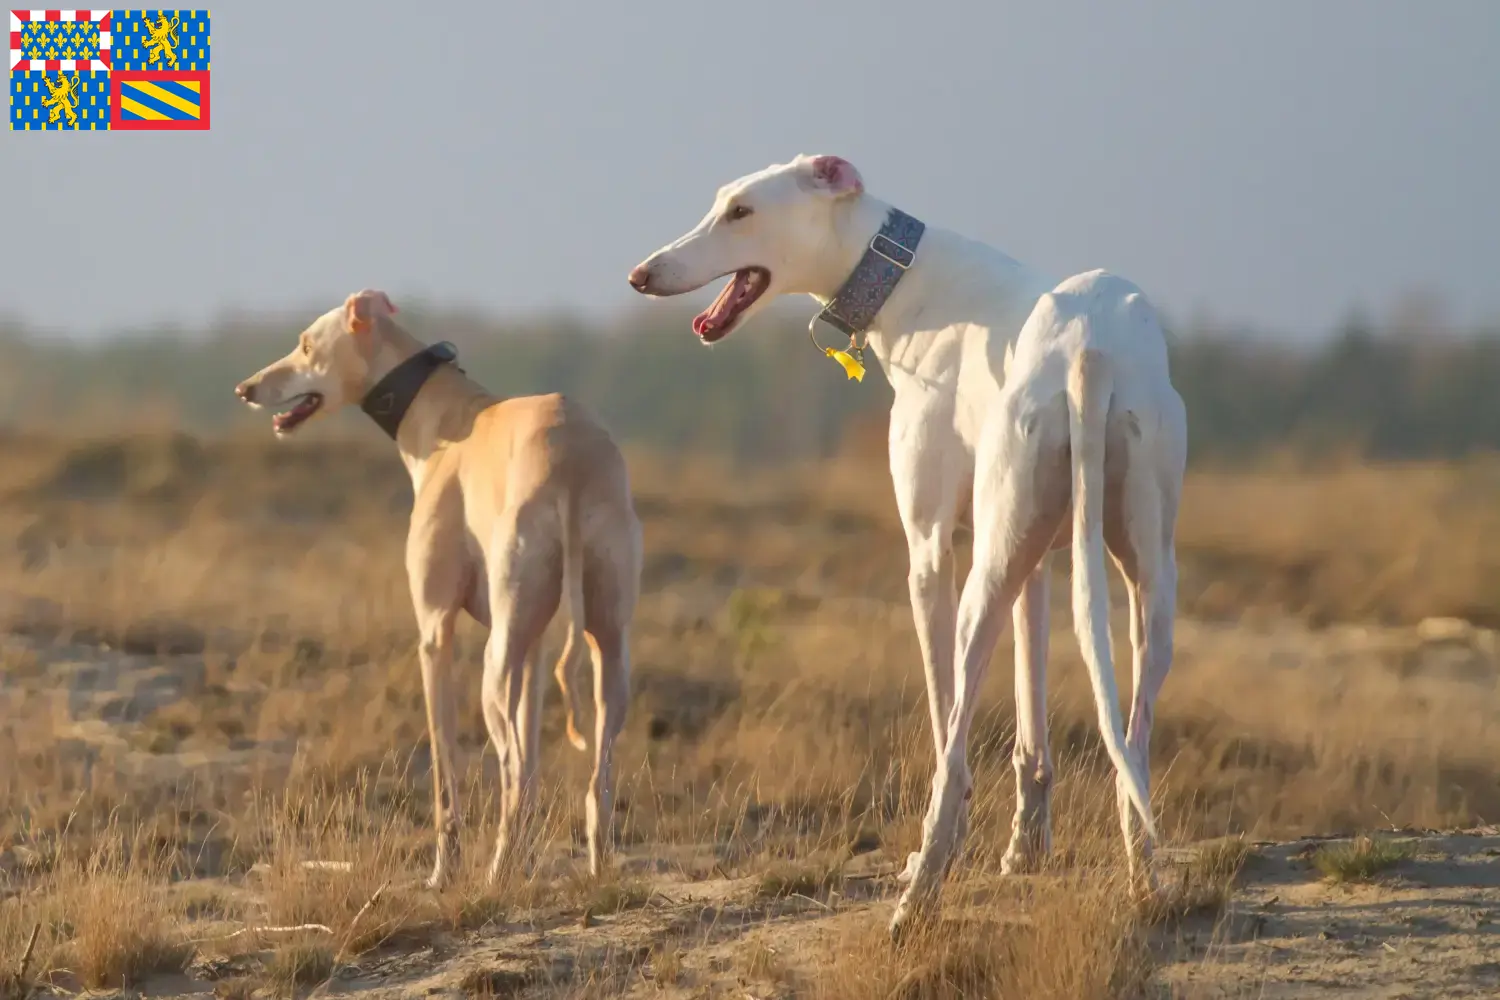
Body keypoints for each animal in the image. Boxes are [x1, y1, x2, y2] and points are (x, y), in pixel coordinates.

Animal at [231, 290, 642, 893]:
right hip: (604, 645)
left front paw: (444, 871)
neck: (444, 416)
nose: (246, 389)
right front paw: (522, 864)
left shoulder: (434, 631)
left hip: (494, 668)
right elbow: (534, 762)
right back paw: (593, 867)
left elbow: (447, 771)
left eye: (305, 344)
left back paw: (494, 871)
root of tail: (569, 461)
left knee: (509, 765)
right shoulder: (533, 645)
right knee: (592, 774)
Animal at [627, 152, 1188, 935]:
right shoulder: (1039, 557)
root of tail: (1091, 349)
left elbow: (946, 714)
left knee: (952, 744)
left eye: (741, 211)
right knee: (1132, 739)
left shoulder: (929, 550)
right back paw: (1145, 877)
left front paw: (961, 847)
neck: (910, 278)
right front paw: (1026, 849)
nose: (641, 275)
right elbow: (1033, 721)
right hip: (1141, 571)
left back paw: (919, 888)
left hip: (982, 582)